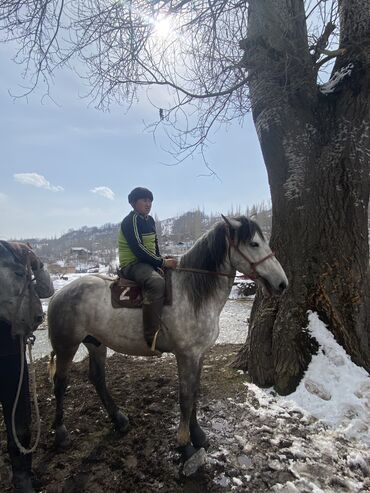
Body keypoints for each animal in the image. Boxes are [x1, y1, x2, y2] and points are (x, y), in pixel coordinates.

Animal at [47, 215, 290, 462]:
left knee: (97, 378)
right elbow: (185, 397)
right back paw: (61, 433)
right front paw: (184, 444)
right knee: (60, 383)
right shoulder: (185, 355)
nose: (282, 283)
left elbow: (194, 393)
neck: (193, 294)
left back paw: (119, 420)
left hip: (96, 343)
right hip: (67, 346)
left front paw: (198, 435)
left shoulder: (199, 354)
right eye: (253, 244)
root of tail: (59, 294)